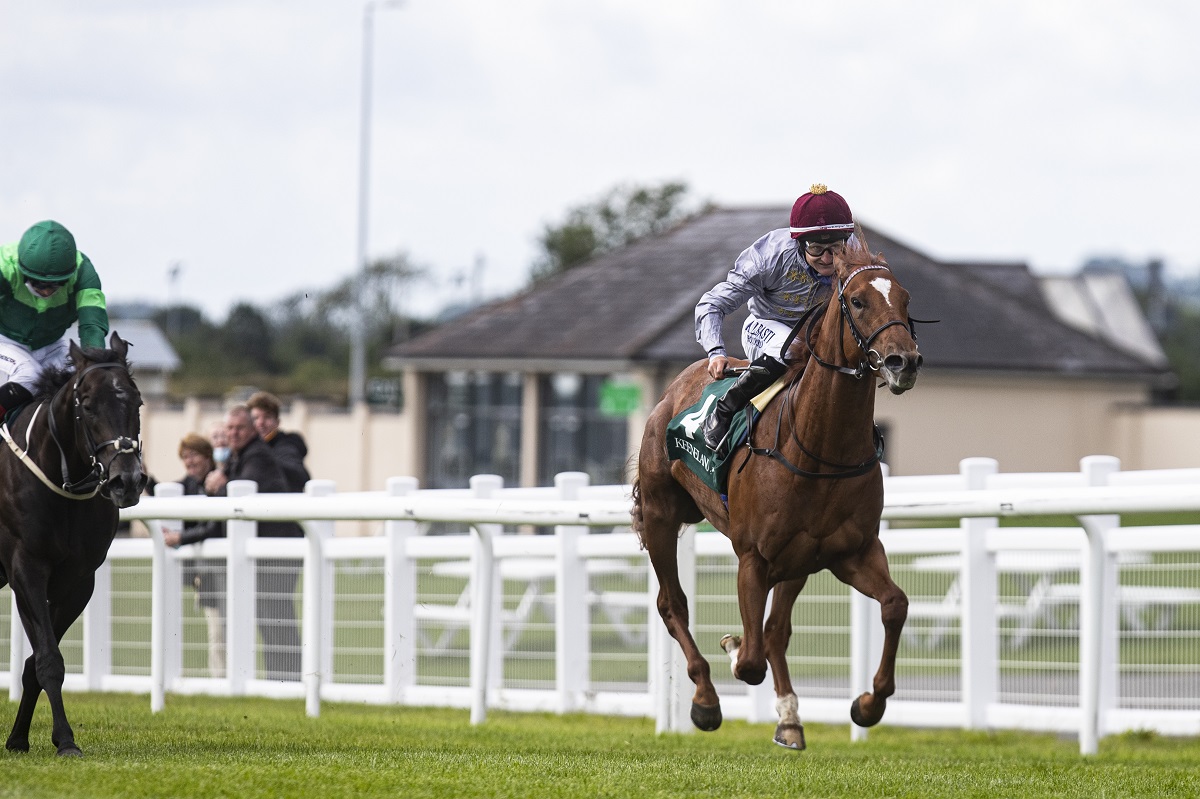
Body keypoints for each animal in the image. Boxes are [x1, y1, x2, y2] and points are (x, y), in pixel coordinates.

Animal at [0, 331, 146, 753]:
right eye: (88, 406)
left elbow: (36, 663)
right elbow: (48, 658)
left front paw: (22, 737)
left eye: (137, 402)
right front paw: (64, 739)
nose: (127, 481)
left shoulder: (79, 579)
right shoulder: (26, 567)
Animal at [633, 231, 921, 748]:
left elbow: (894, 605)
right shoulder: (754, 558)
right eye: (857, 300)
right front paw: (730, 648)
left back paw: (789, 719)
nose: (902, 362)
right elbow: (748, 660)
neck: (819, 449)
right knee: (673, 604)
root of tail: (671, 390)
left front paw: (868, 704)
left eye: (905, 299)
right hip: (663, 514)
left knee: (776, 629)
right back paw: (705, 699)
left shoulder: (852, 551)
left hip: (797, 561)